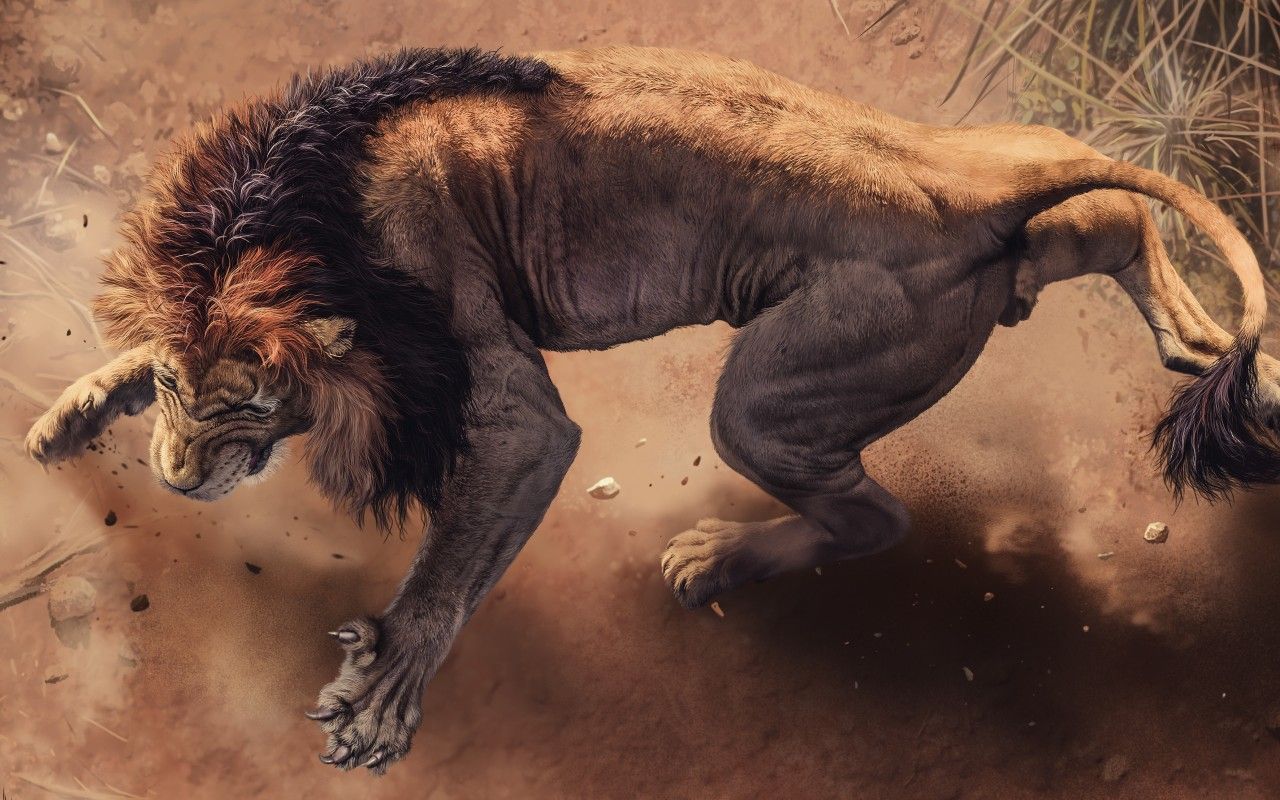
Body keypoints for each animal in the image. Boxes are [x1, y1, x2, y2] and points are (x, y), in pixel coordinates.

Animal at [24, 46, 1280, 772]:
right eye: (179, 390)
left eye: (248, 402)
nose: (177, 475)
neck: (294, 224)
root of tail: (966, 182)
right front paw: (72, 409)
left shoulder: (503, 402)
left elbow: (445, 570)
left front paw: (379, 695)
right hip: (1025, 188)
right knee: (1121, 208)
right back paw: (1208, 348)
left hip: (769, 396)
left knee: (875, 517)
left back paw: (714, 557)